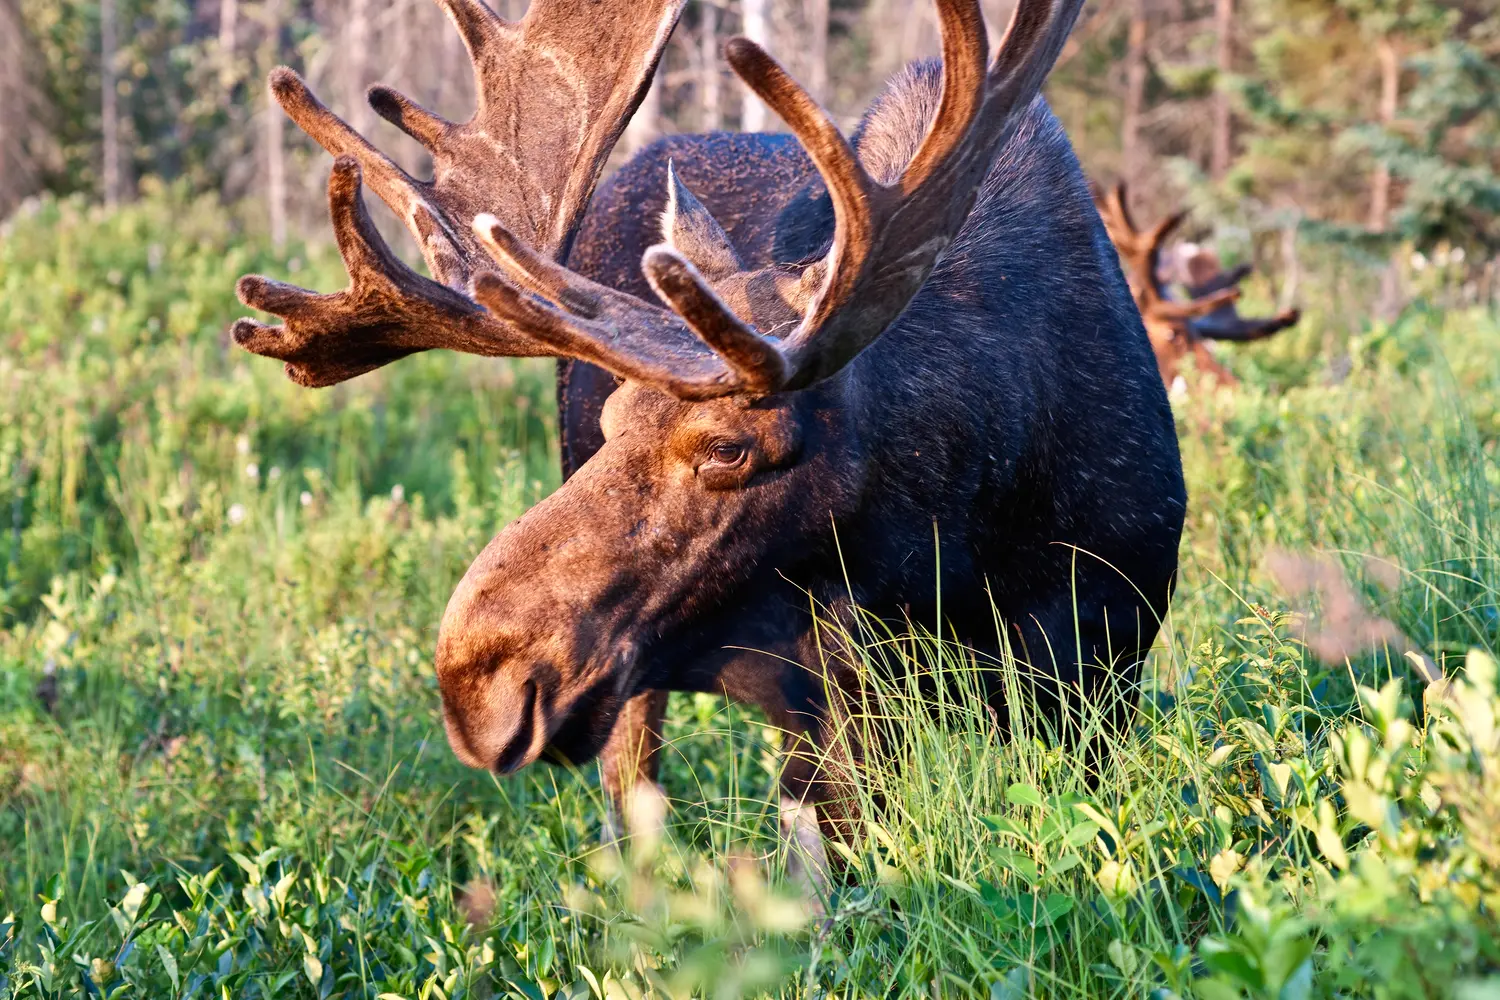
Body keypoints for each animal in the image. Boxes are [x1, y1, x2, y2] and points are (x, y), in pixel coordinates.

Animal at [230, 0, 1187, 876]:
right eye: (611, 420)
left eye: (728, 447)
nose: (475, 677)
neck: (980, 524)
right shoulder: (844, 703)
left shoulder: (1107, 668)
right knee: (634, 806)